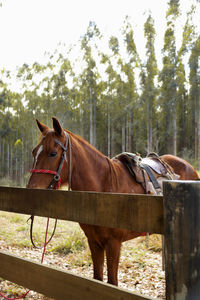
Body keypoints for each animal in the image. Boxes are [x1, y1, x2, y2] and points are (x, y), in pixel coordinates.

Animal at [27, 117, 199, 286]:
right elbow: (98, 278)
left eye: (53, 153)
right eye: (34, 152)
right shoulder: (94, 242)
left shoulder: (114, 244)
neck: (104, 187)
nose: (31, 190)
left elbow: (112, 283)